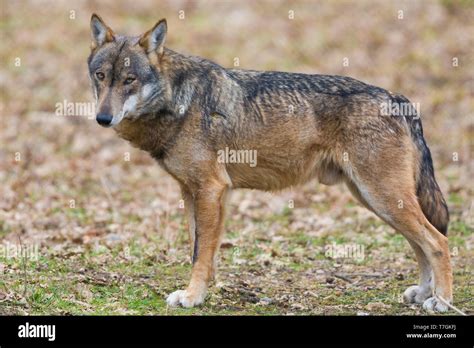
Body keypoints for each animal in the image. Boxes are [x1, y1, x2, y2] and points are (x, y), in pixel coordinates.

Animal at [87, 14, 454, 312]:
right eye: (101, 76)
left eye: (130, 80)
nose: (103, 118)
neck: (178, 99)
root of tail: (397, 98)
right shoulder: (194, 193)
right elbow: (201, 249)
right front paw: (205, 290)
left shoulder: (211, 189)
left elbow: (199, 251)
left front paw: (193, 297)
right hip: (375, 200)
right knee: (421, 243)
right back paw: (423, 294)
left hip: (383, 198)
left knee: (438, 242)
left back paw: (441, 302)